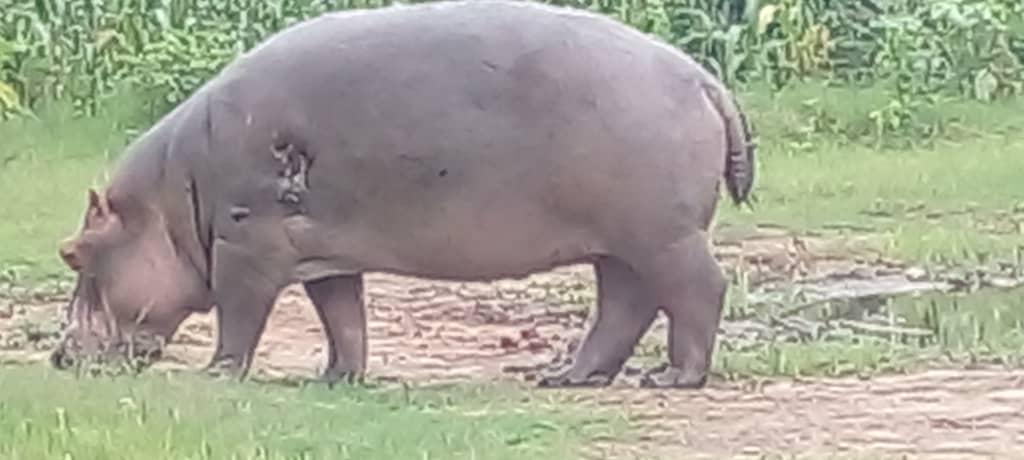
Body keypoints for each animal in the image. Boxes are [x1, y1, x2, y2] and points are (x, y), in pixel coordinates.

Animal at [49, 0, 753, 387]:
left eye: (73, 252)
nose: (58, 356)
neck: (168, 207)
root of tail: (704, 78)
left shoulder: (246, 245)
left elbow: (240, 315)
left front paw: (218, 374)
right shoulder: (322, 252)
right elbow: (342, 316)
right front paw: (336, 379)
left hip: (663, 235)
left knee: (698, 290)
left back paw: (674, 377)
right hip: (621, 240)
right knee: (623, 304)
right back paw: (566, 377)